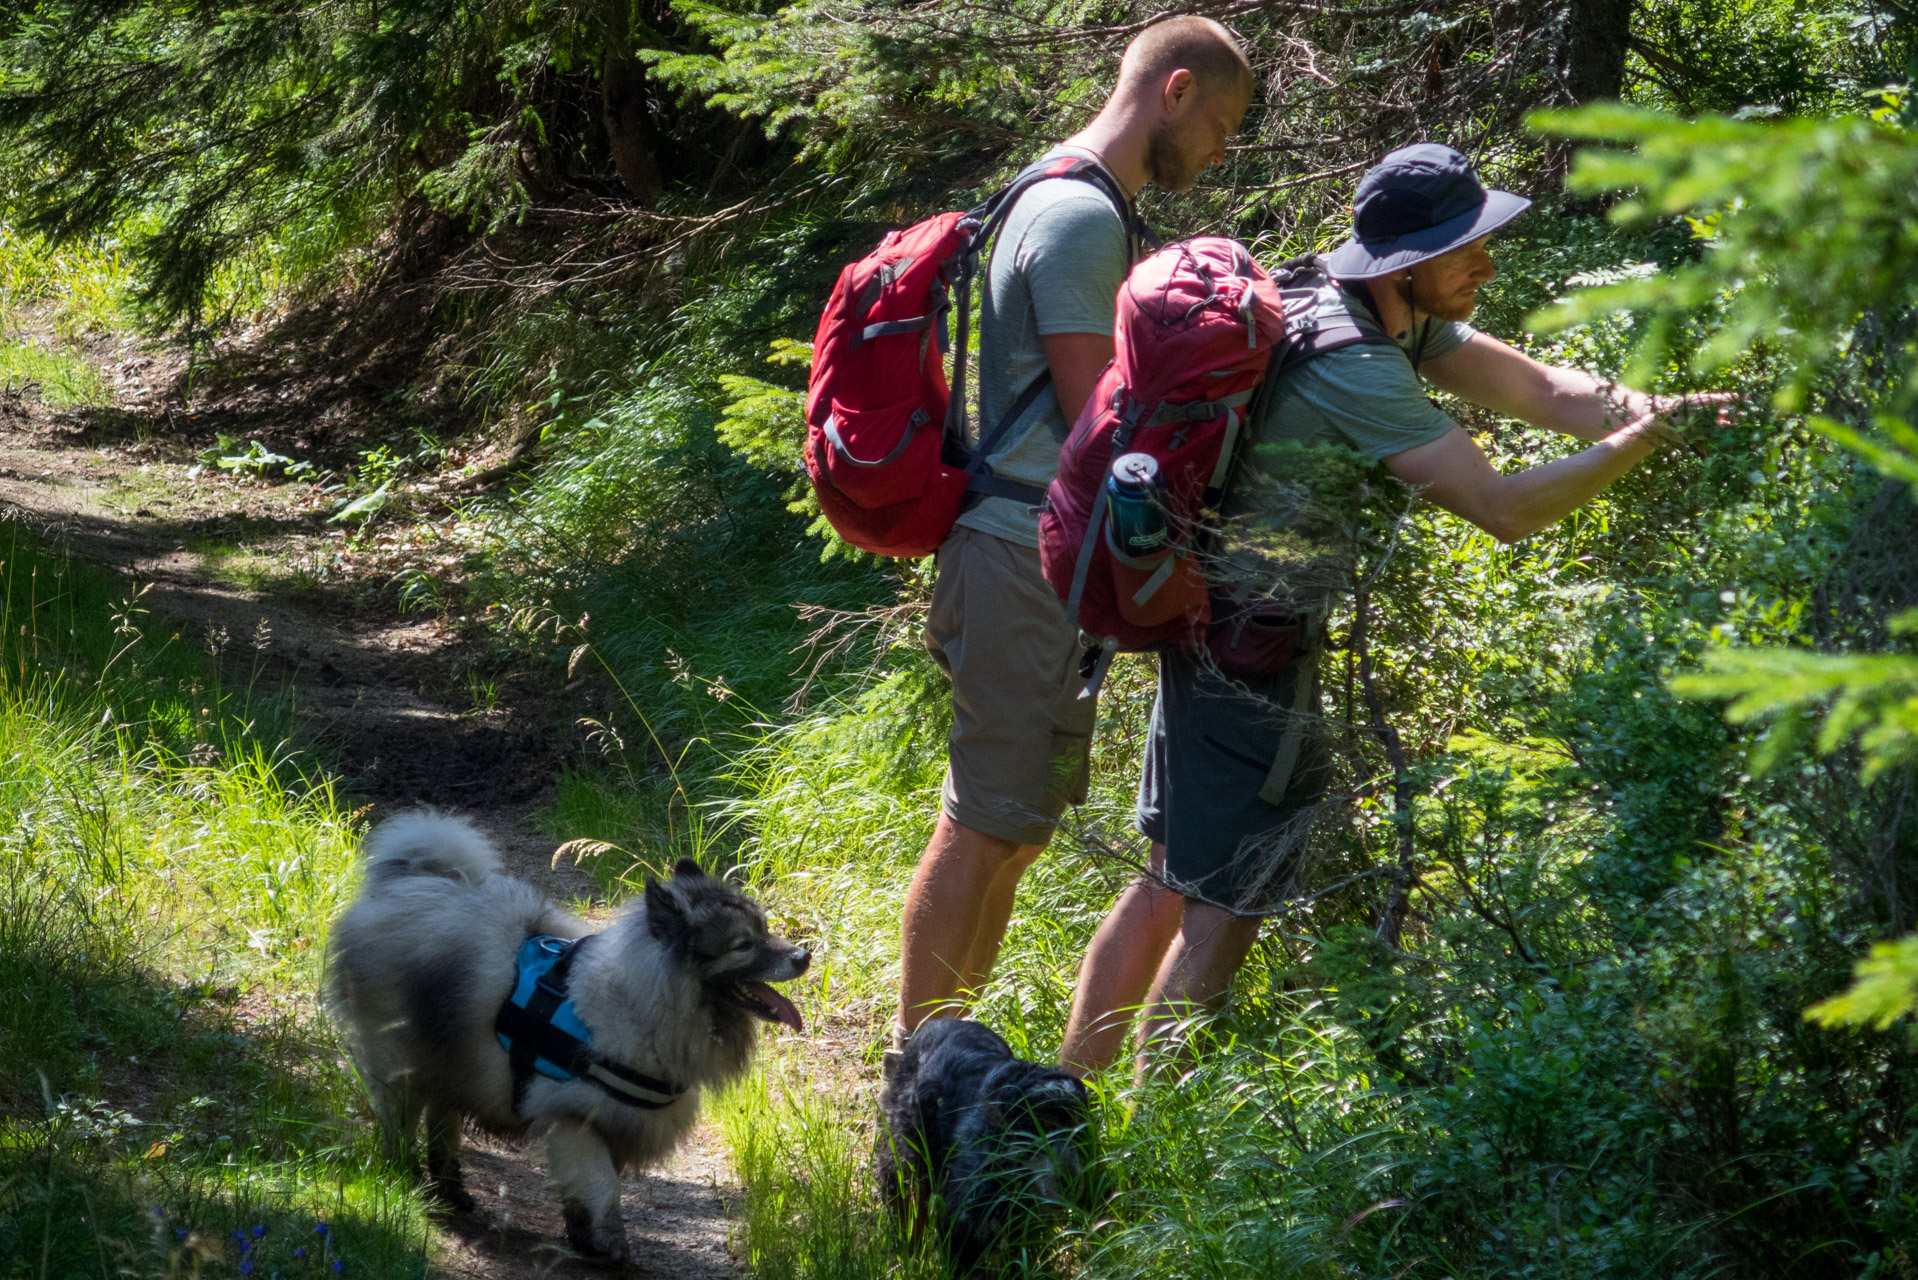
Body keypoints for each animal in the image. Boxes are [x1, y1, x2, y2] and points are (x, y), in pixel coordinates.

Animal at [326, 809, 805, 1258]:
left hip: (449, 1054)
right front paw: (609, 1243)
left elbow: (590, 1190)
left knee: (442, 1122)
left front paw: (584, 1234)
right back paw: (404, 1177)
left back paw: (450, 1189)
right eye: (743, 945)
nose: (804, 955)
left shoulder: (612, 1125)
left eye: (765, 930)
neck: (644, 1000)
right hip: (401, 1061)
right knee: (401, 1123)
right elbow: (602, 1187)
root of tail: (409, 883)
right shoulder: (576, 1120)